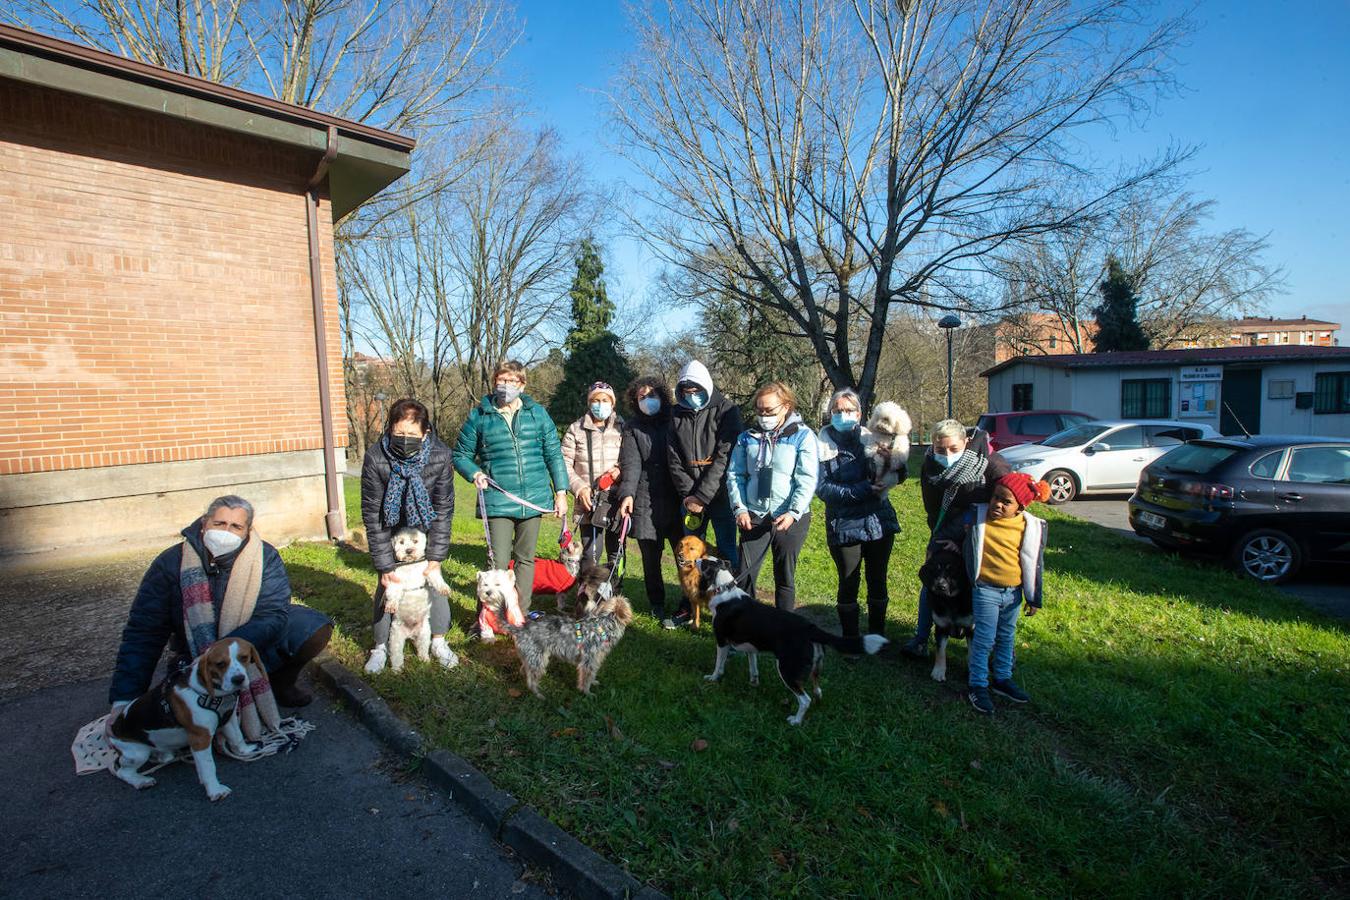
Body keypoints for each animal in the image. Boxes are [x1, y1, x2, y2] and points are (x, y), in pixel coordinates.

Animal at [108, 634, 263, 804]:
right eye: (220, 664)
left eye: (244, 657)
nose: (238, 679)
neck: (208, 693)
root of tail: (113, 729)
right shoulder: (200, 738)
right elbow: (208, 766)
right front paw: (215, 790)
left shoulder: (229, 719)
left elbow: (237, 737)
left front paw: (245, 750)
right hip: (137, 753)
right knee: (123, 772)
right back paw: (141, 781)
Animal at [504, 593, 634, 701]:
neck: (601, 627)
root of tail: (521, 629)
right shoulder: (588, 661)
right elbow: (586, 679)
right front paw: (587, 693)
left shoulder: (595, 661)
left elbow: (592, 674)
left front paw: (593, 682)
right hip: (538, 657)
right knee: (531, 680)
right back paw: (538, 694)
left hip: (531, 656)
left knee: (525, 669)